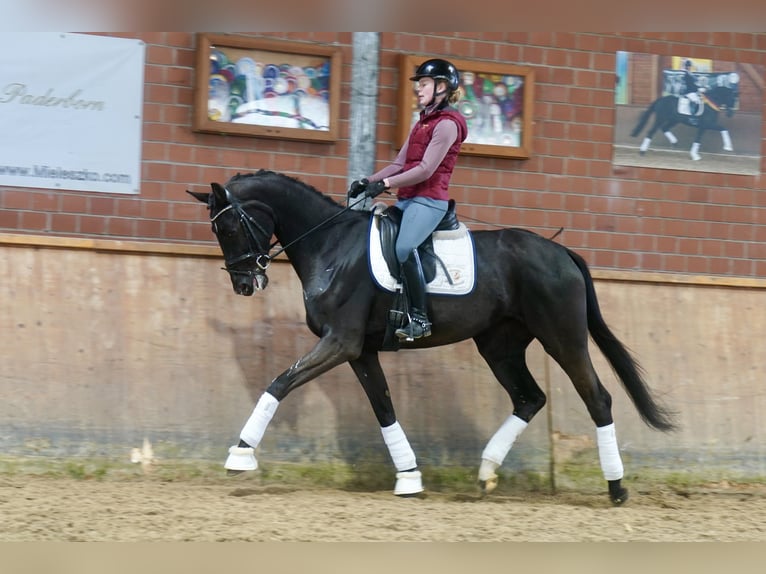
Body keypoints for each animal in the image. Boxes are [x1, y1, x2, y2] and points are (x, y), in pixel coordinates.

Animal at [189, 170, 676, 504]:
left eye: (228, 227)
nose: (245, 284)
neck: (330, 246)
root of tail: (560, 251)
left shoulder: (340, 341)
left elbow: (280, 382)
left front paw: (240, 455)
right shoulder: (359, 350)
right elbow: (384, 408)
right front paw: (409, 477)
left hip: (562, 337)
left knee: (597, 398)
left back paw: (616, 488)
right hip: (499, 346)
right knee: (529, 398)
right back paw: (485, 473)